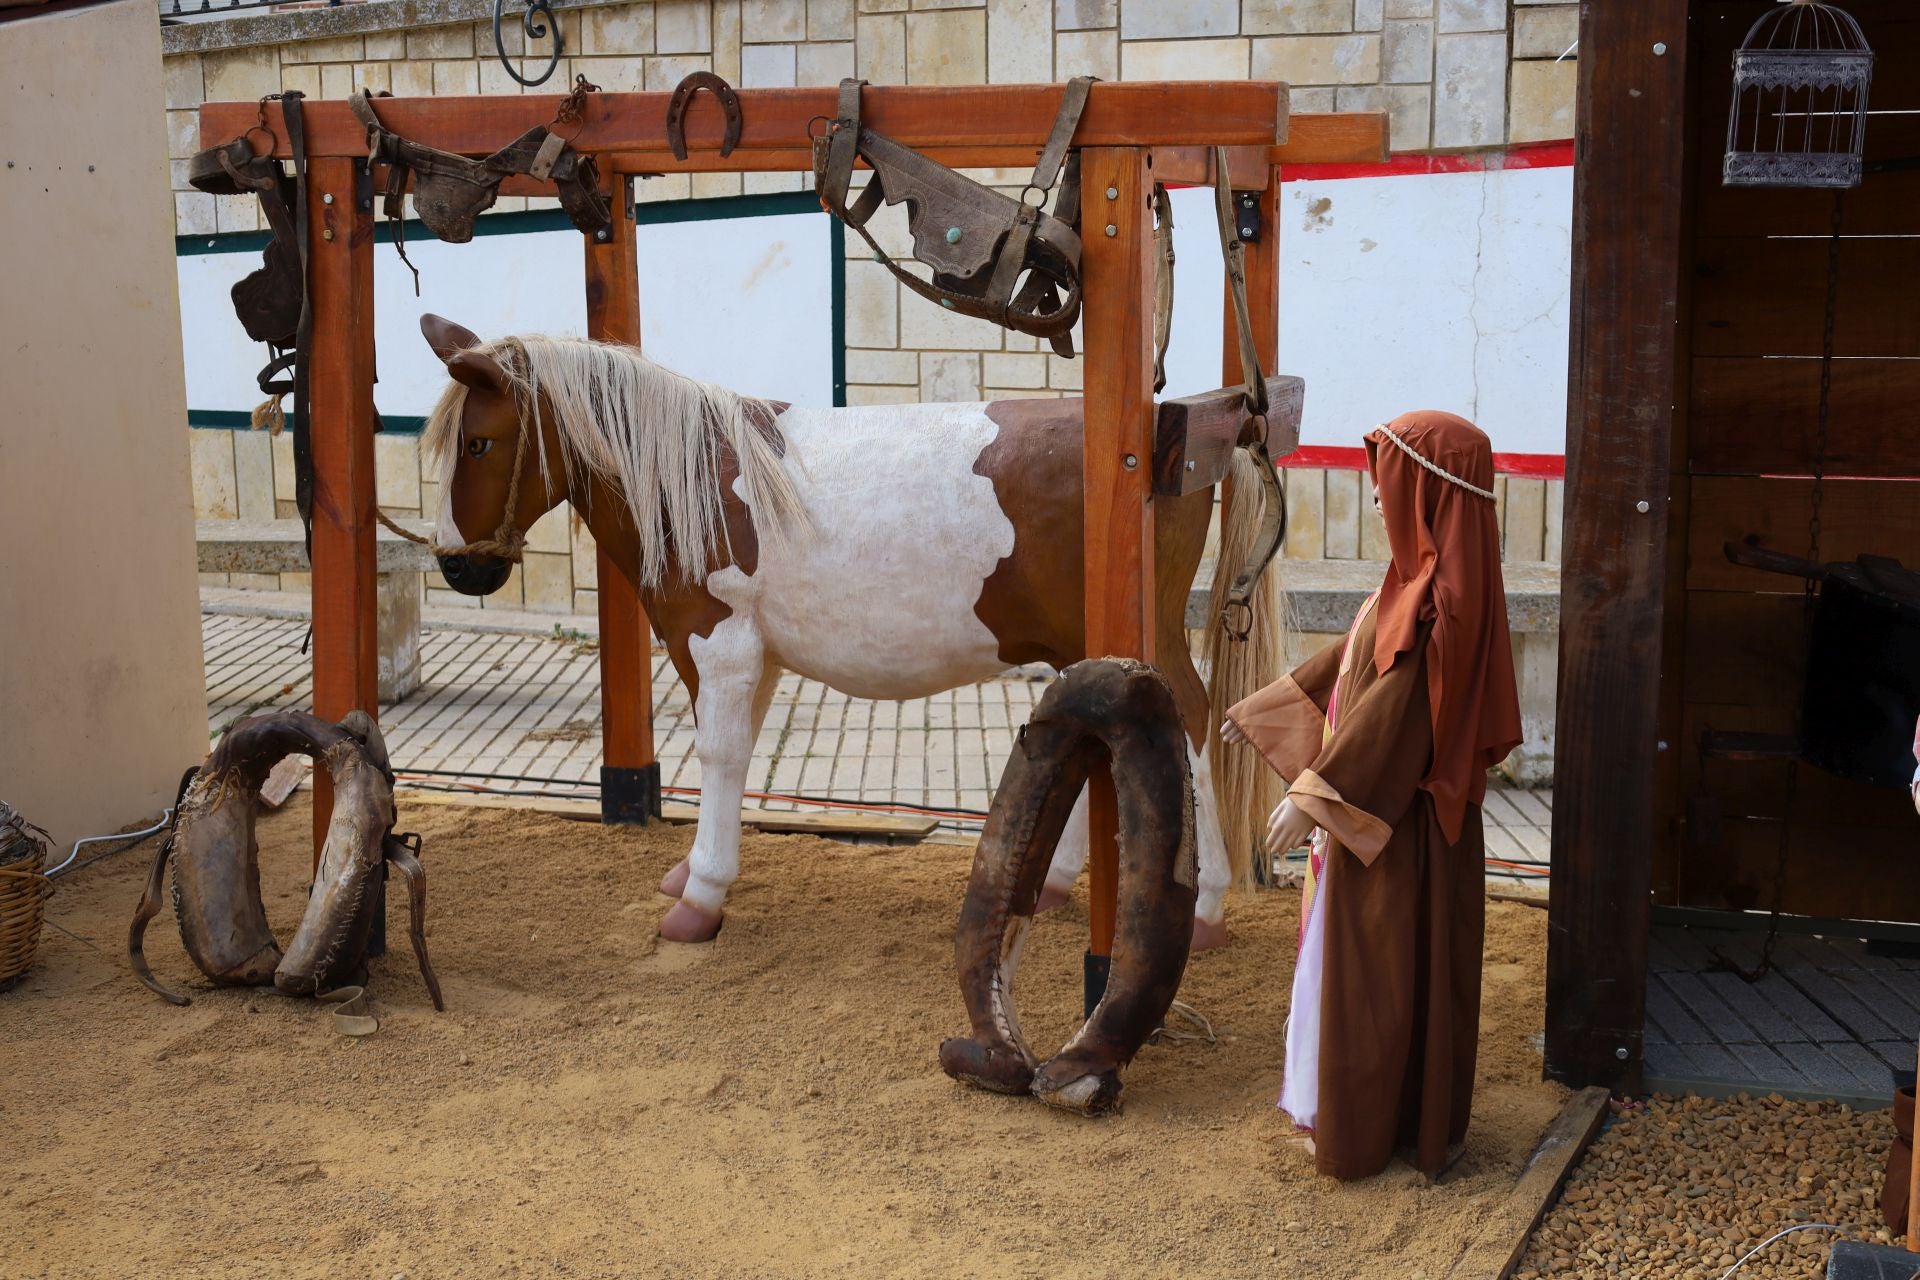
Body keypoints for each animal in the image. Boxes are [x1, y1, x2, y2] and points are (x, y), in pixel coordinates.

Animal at [426, 314, 1282, 948]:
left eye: (479, 442)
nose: (455, 566)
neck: (695, 473)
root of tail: (1185, 432)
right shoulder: (753, 655)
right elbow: (738, 754)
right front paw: (691, 870)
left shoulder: (718, 645)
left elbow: (720, 755)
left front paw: (701, 894)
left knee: (1192, 719)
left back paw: (1206, 907)